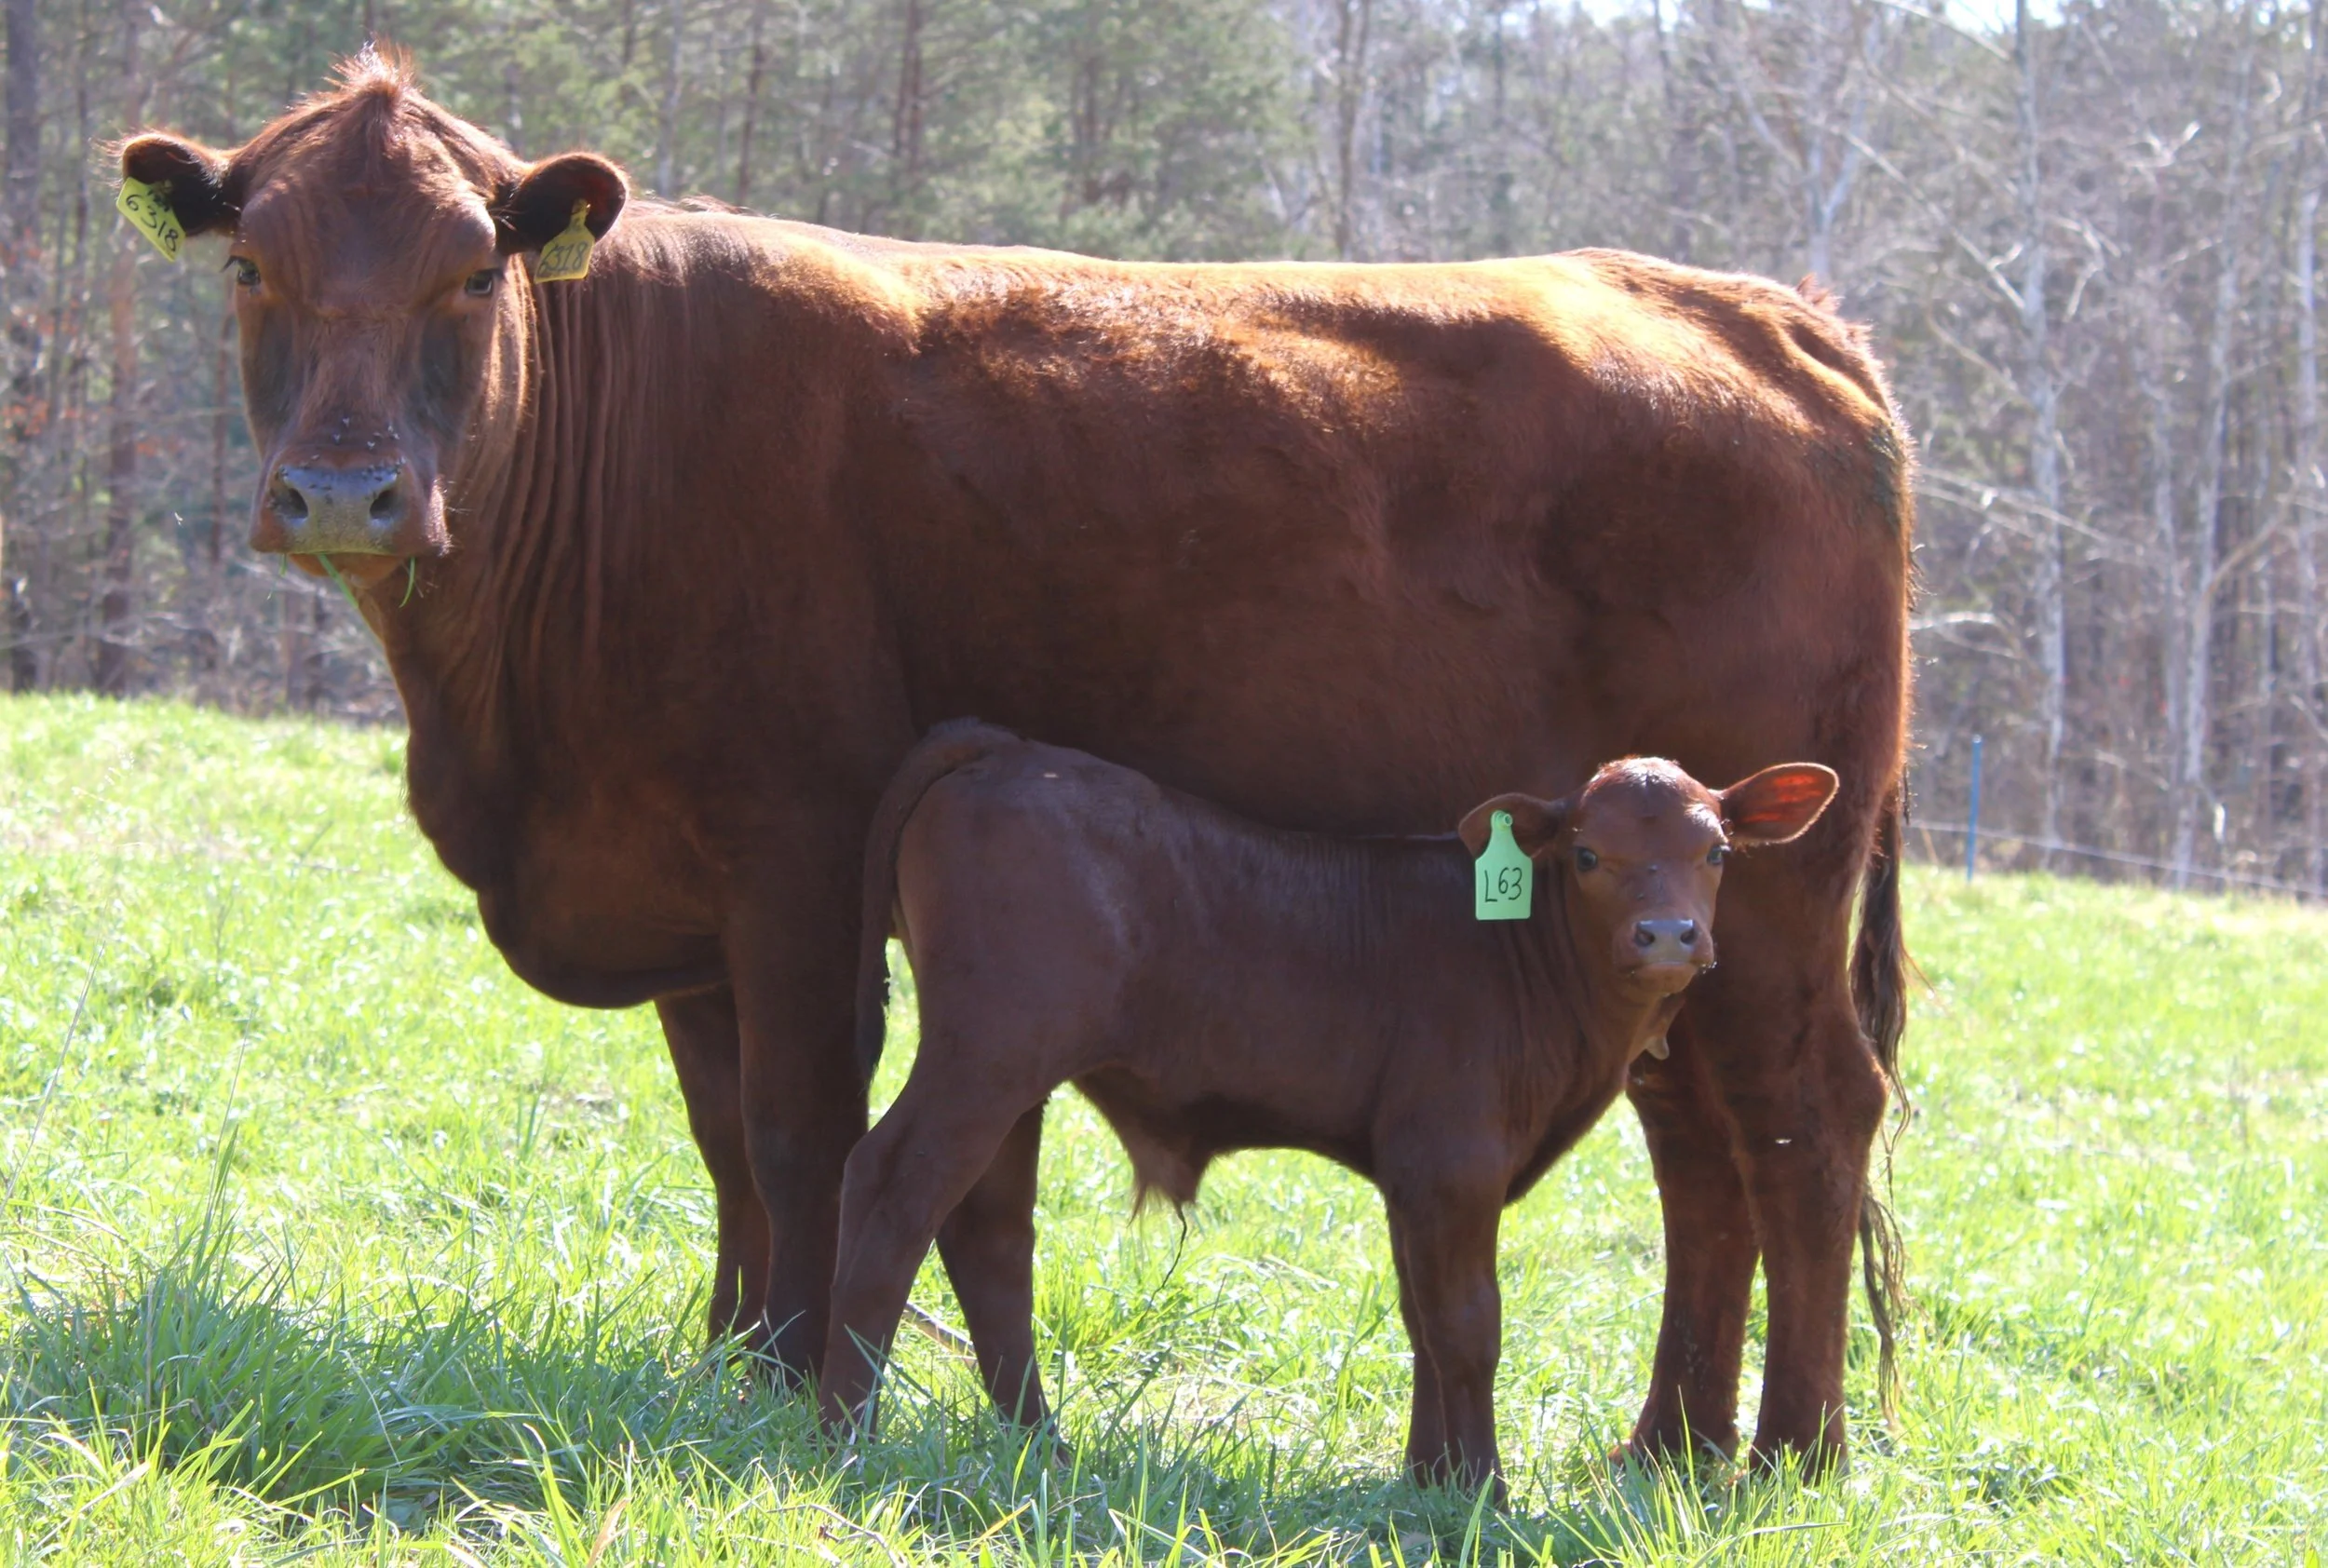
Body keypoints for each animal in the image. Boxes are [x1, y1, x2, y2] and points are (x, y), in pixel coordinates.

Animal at [822, 722, 1839, 1491]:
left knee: (986, 1227)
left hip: (1006, 1065)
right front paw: (1484, 1490)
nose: (1667, 935)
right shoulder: (1452, 1157)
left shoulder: (1414, 1173)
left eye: (1716, 851)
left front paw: (1431, 1479)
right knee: (891, 1183)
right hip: (988, 1049)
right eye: (1589, 853)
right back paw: (842, 1428)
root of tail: (1004, 746)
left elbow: (1422, 1314)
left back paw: (1040, 1446)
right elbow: (1468, 1324)